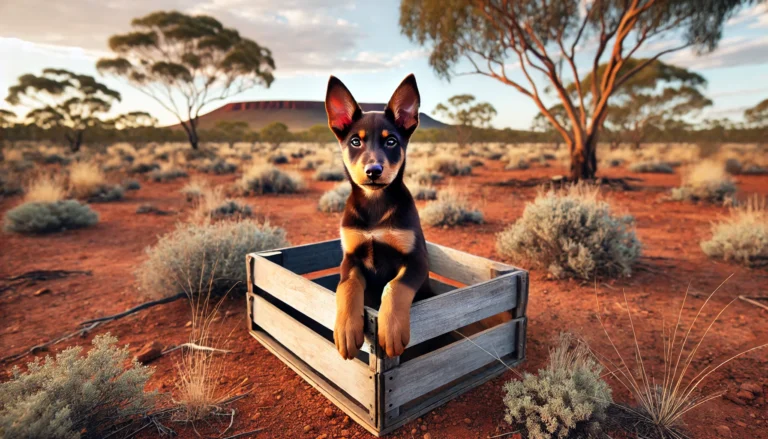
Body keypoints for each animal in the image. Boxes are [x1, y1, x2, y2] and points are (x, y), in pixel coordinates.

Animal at [326, 74, 432, 360]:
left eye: (391, 141)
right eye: (355, 142)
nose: (373, 170)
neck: (375, 205)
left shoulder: (416, 260)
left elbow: (395, 287)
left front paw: (391, 329)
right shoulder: (350, 259)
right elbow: (347, 287)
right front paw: (346, 328)